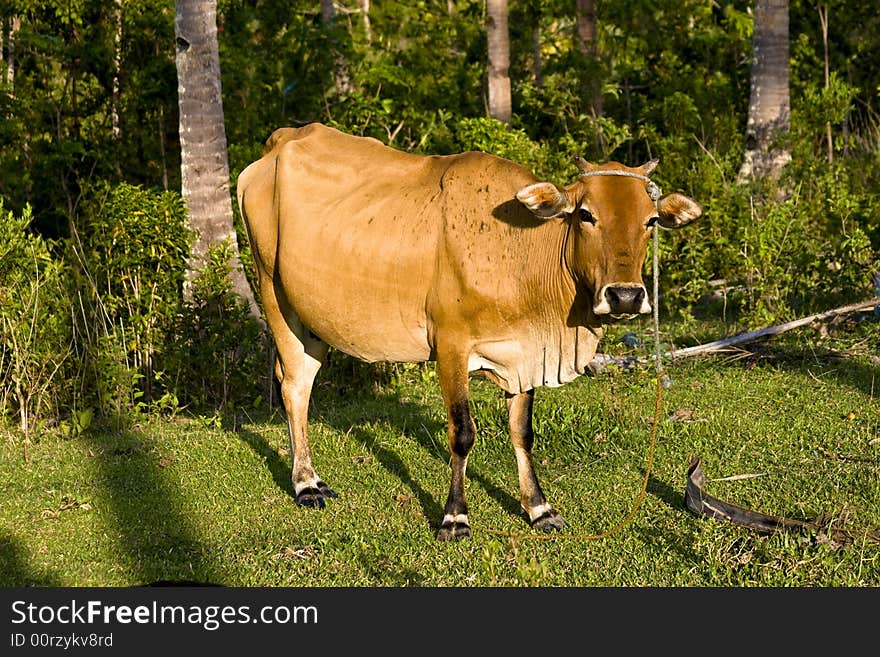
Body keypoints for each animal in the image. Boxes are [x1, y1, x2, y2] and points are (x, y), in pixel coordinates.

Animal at [235, 123, 700, 540]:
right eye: (587, 215)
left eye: (651, 221)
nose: (625, 296)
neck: (522, 253)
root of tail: (281, 140)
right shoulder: (451, 346)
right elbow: (462, 434)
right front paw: (454, 517)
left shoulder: (524, 353)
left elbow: (522, 432)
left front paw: (539, 508)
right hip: (273, 293)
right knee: (294, 385)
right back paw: (305, 483)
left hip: (312, 317)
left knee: (305, 378)